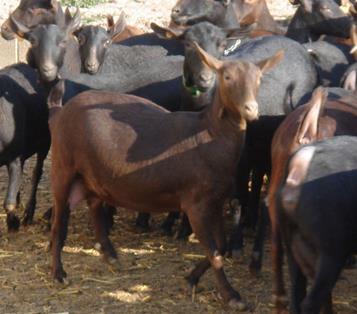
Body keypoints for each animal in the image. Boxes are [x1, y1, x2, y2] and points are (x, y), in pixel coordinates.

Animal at [46, 43, 280, 308]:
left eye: (259, 78)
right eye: (227, 77)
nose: (251, 110)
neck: (208, 133)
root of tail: (58, 112)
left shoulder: (216, 201)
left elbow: (220, 246)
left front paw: (191, 278)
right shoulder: (195, 204)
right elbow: (215, 253)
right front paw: (231, 295)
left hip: (95, 174)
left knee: (95, 204)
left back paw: (110, 254)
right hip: (63, 166)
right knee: (59, 220)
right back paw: (59, 273)